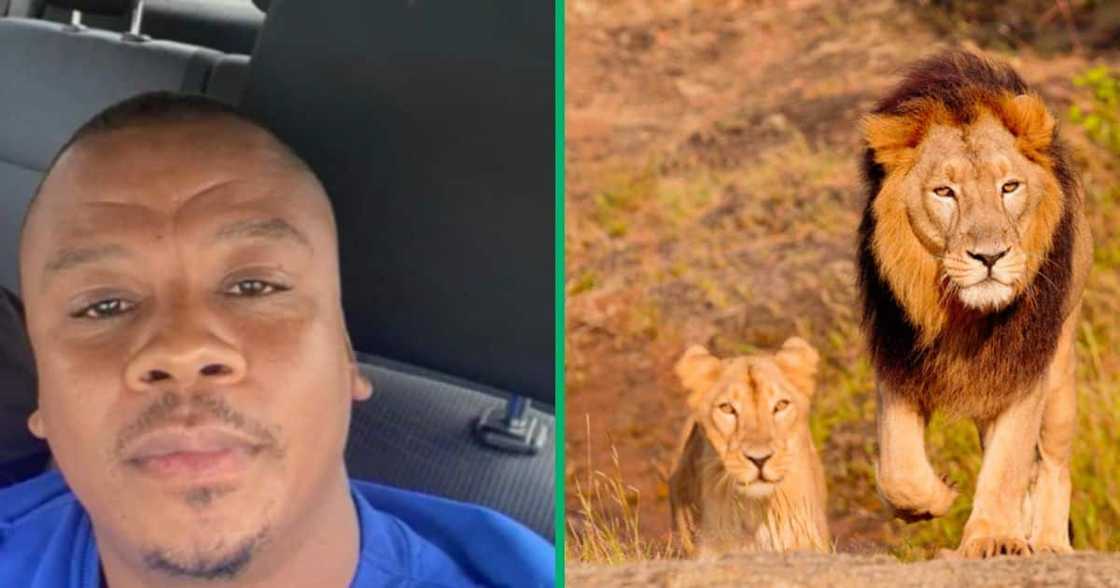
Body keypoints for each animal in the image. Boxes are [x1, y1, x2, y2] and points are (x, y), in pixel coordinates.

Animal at [858, 51, 1092, 558]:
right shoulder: (897, 356)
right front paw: (936, 497)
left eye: (1010, 187)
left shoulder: (1025, 366)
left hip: (1062, 367)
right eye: (945, 192)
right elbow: (900, 469)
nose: (990, 256)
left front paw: (994, 538)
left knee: (1052, 462)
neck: (963, 313)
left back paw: (1048, 542)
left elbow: (1009, 464)